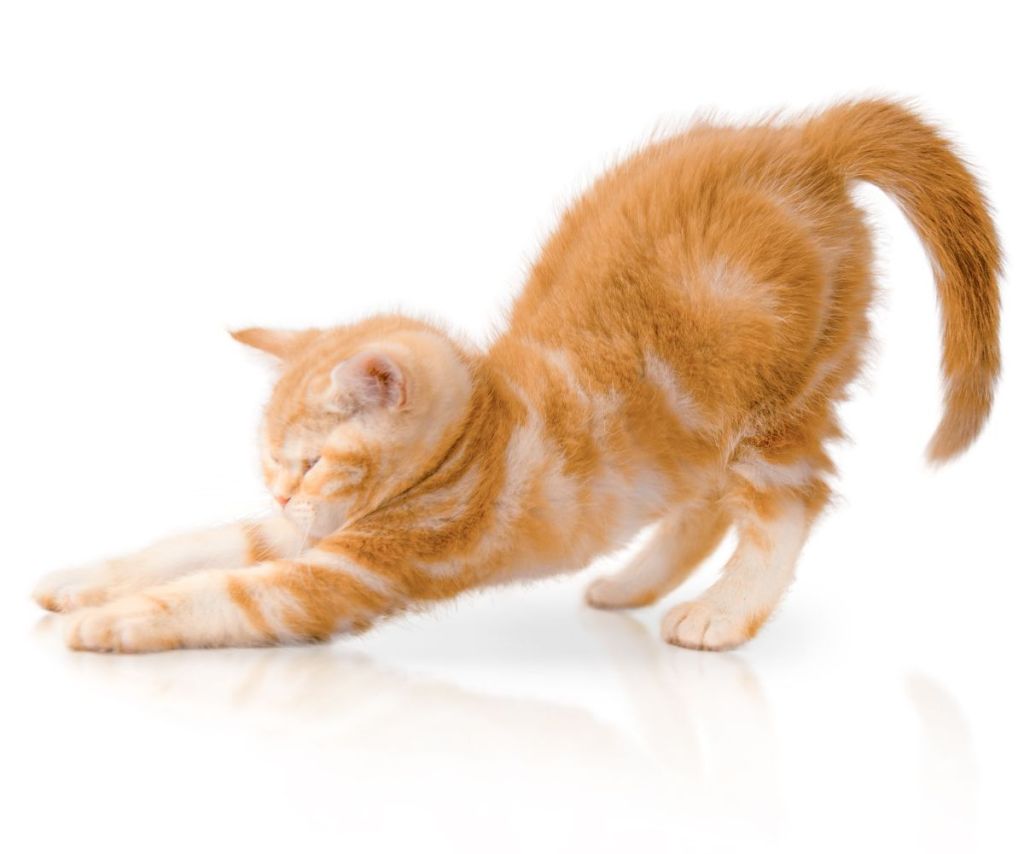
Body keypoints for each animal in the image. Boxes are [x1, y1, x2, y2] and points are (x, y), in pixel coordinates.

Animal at [37, 96, 999, 647]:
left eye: (310, 460)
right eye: (272, 464)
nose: (281, 488)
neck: (484, 428)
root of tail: (807, 144)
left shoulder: (355, 570)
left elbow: (223, 591)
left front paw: (113, 618)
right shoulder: (302, 531)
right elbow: (191, 544)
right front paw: (83, 580)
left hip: (779, 396)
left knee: (786, 505)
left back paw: (724, 612)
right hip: (694, 434)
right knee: (703, 507)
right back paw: (630, 583)